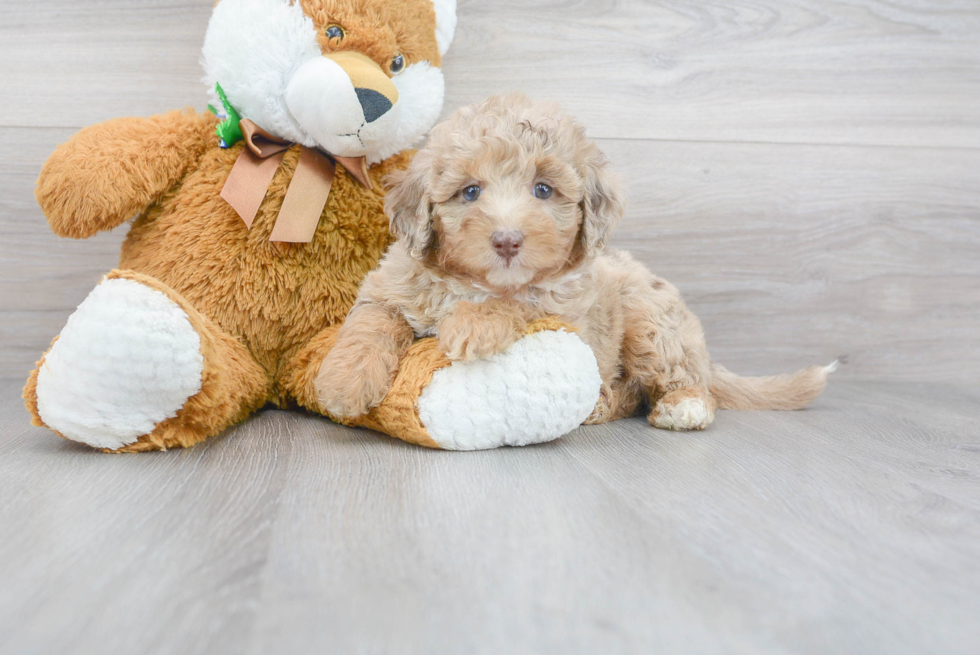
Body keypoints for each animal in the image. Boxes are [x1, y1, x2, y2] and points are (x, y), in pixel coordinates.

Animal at [320, 92, 836, 430]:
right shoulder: (391, 285)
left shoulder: (566, 313)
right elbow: (371, 323)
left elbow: (522, 301)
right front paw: (344, 383)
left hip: (650, 321)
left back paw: (682, 405)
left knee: (679, 380)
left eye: (543, 190)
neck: (478, 282)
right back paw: (603, 404)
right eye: (469, 192)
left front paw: (474, 323)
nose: (507, 241)